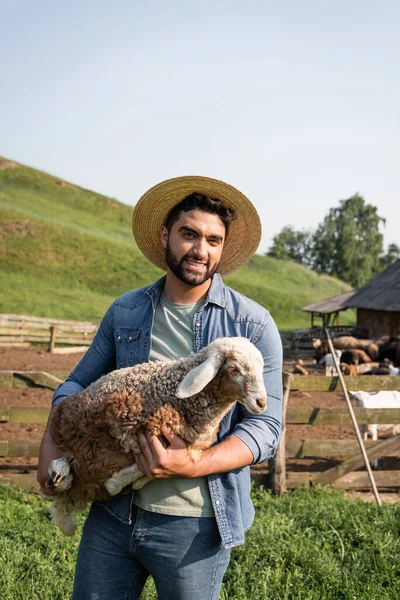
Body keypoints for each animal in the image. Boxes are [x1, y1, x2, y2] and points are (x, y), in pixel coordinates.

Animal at [43, 336, 268, 536]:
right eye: (234, 369)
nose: (261, 402)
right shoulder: (123, 423)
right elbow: (137, 464)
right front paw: (114, 483)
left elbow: (146, 469)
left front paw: (120, 484)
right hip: (66, 421)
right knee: (65, 461)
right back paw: (60, 472)